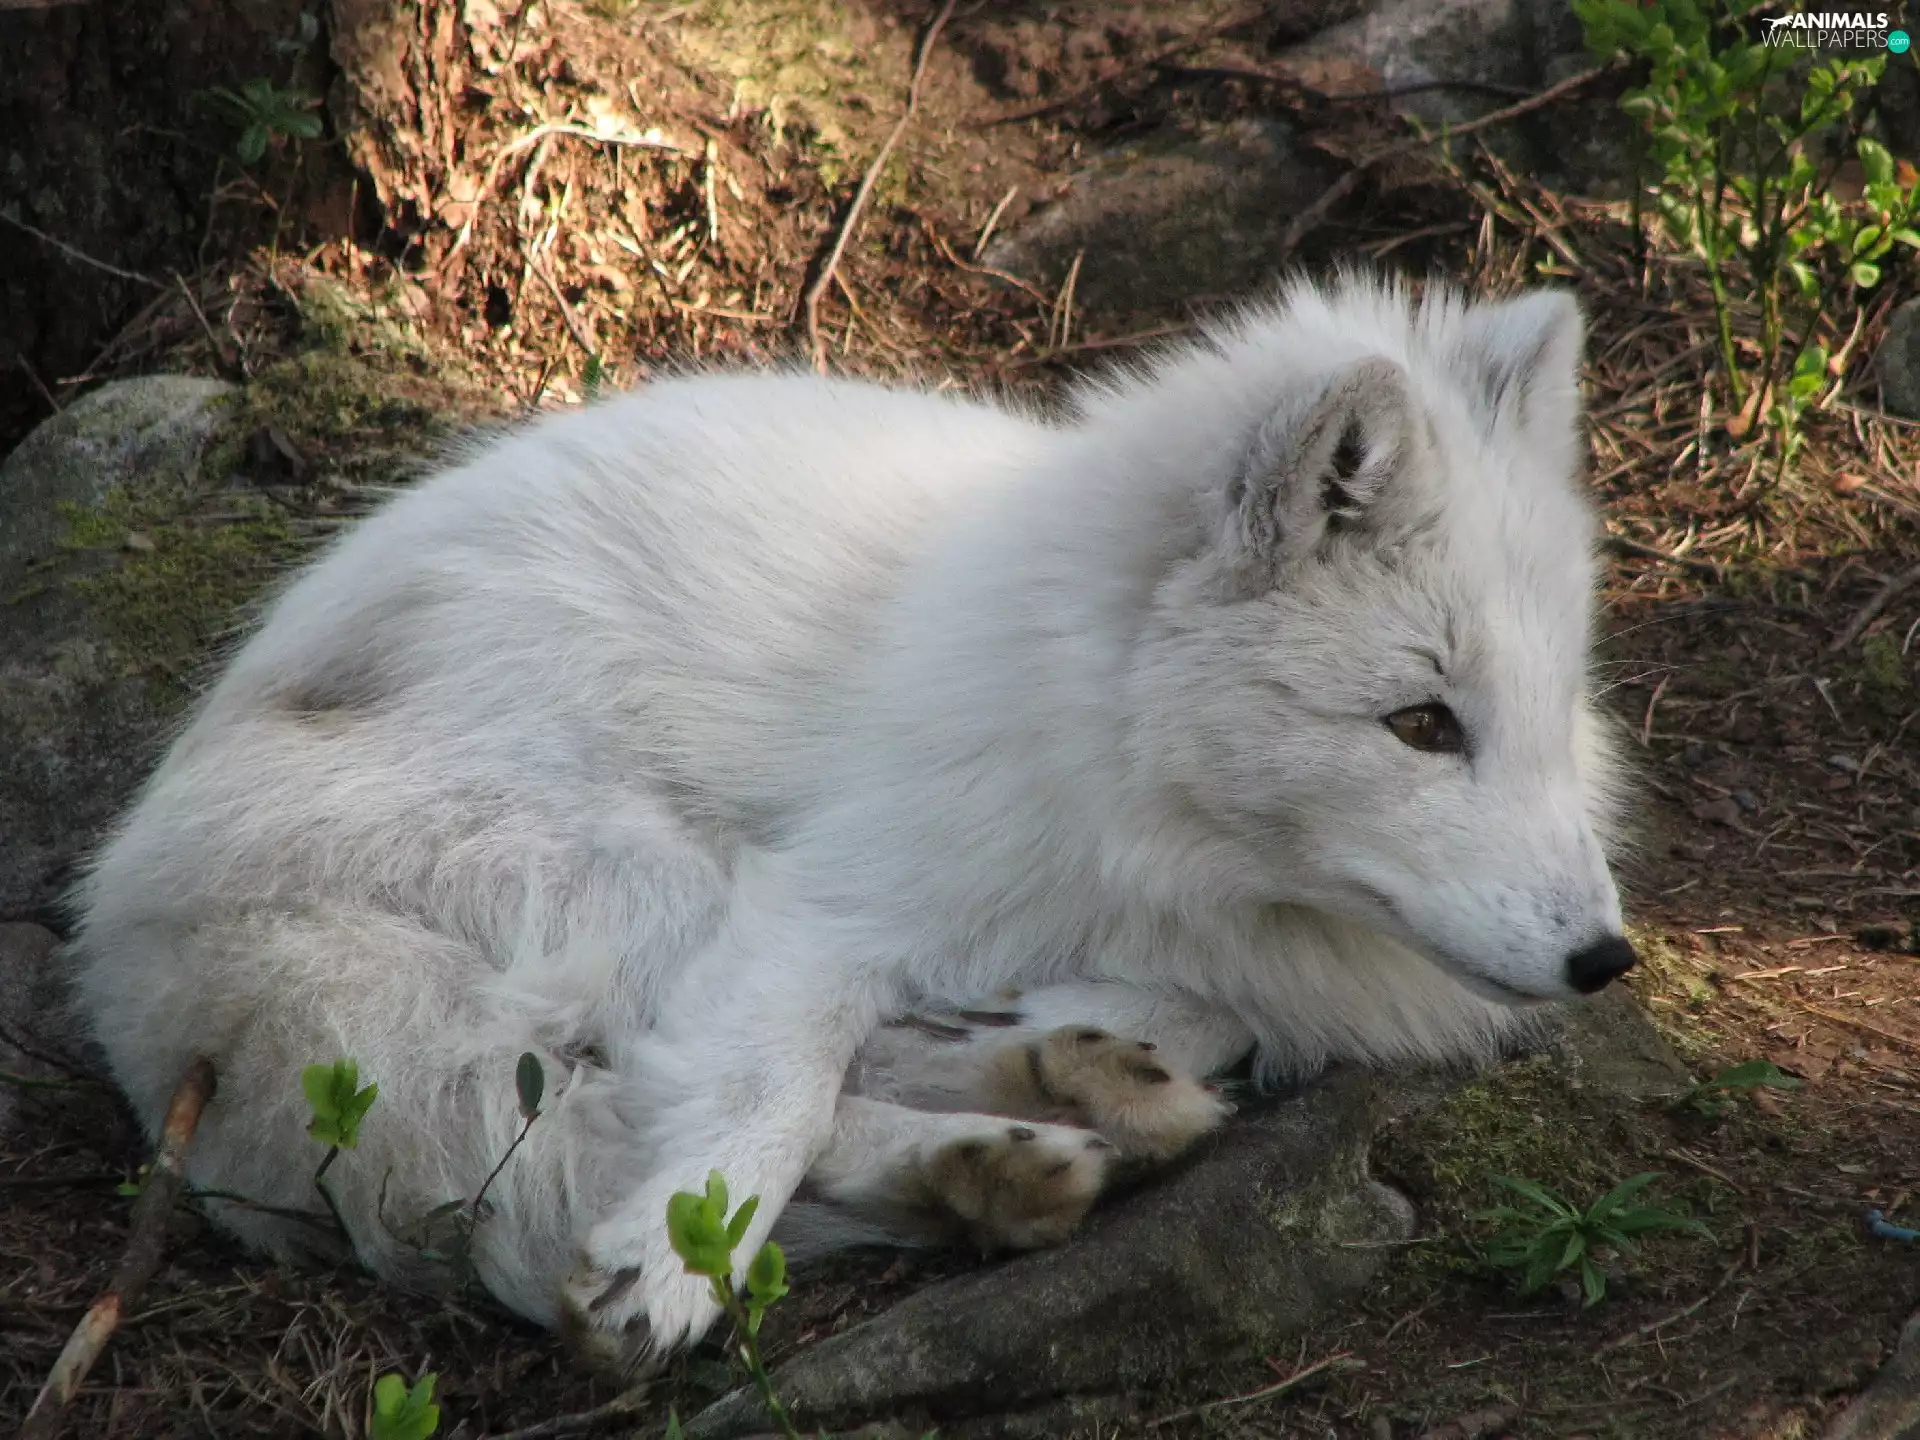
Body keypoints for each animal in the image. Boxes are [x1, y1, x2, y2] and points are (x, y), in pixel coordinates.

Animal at [67, 273, 1635, 1376]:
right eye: (1422, 724)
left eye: (1555, 706)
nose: (1606, 964)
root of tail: (128, 936)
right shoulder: (823, 900)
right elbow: (773, 1086)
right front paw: (672, 1262)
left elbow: (1191, 1010)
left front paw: (1065, 1040)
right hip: (640, 873)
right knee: (627, 1088)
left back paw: (1043, 1125)